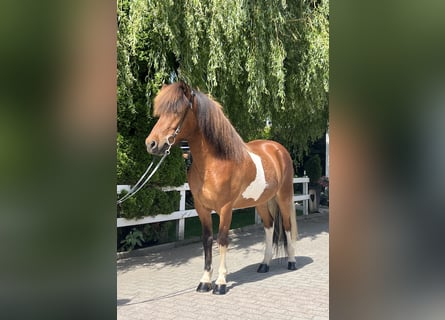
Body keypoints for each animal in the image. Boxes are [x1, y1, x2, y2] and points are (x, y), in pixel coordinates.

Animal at [147, 82, 298, 296]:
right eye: (160, 113)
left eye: (177, 111)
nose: (151, 144)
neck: (215, 163)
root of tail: (277, 148)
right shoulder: (202, 209)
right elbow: (207, 240)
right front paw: (204, 282)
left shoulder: (226, 208)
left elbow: (223, 240)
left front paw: (220, 283)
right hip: (261, 202)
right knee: (269, 227)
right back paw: (264, 264)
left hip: (283, 197)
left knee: (286, 226)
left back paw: (291, 262)